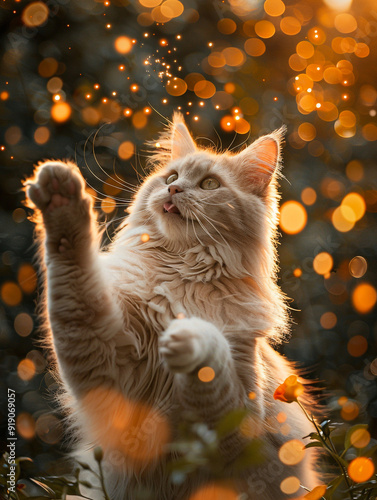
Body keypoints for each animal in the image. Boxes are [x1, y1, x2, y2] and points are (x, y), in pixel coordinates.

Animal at [23, 114, 318, 500]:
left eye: (209, 184)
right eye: (171, 178)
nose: (174, 191)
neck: (180, 275)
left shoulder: (238, 428)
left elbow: (213, 363)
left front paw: (189, 336)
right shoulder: (101, 355)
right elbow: (72, 263)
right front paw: (61, 199)